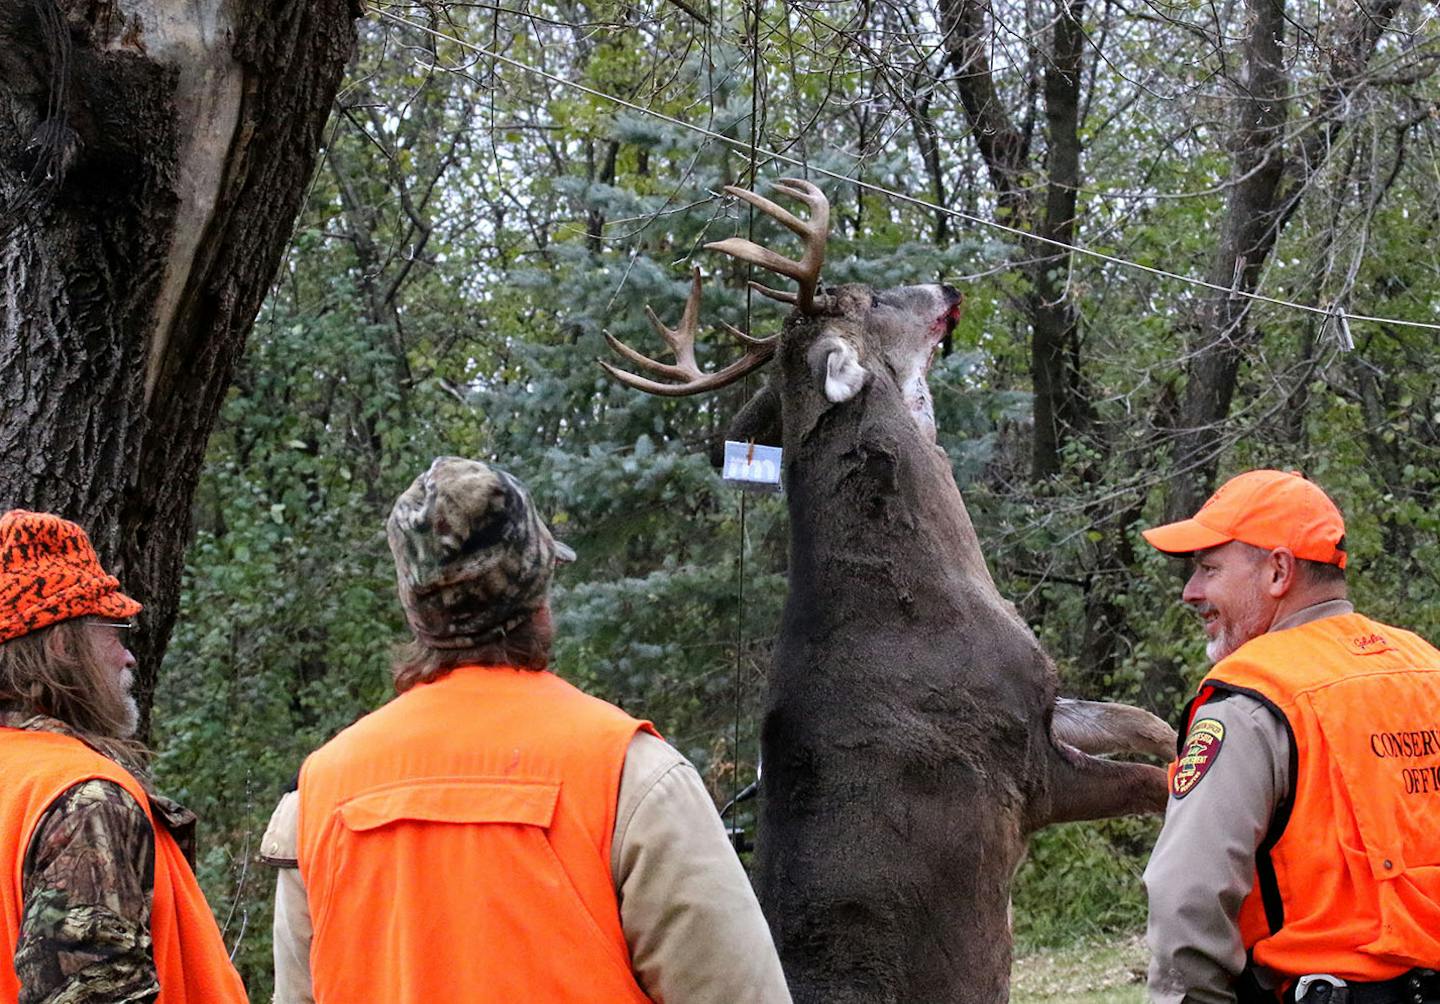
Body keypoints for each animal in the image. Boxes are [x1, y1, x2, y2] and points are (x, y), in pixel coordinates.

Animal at [603, 179, 1173, 1004]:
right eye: (869, 299)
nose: (948, 287)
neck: (928, 596)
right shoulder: (1019, 762)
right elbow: (1161, 783)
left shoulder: (1046, 702)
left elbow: (1155, 727)